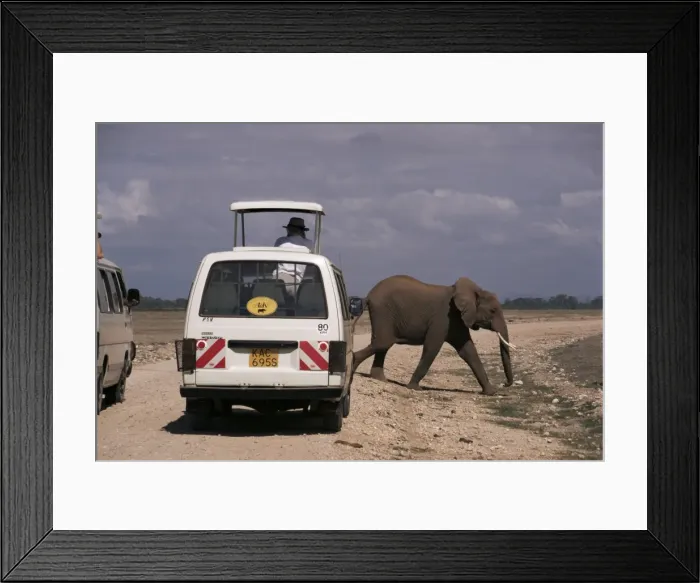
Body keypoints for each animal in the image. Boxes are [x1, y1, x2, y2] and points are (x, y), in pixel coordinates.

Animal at [351, 275, 516, 395]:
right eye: (493, 311)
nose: (505, 384)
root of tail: (368, 295)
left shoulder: (456, 320)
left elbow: (468, 350)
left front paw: (490, 393)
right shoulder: (442, 318)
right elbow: (432, 348)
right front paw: (414, 388)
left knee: (383, 345)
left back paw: (380, 379)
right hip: (383, 312)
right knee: (383, 343)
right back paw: (354, 364)